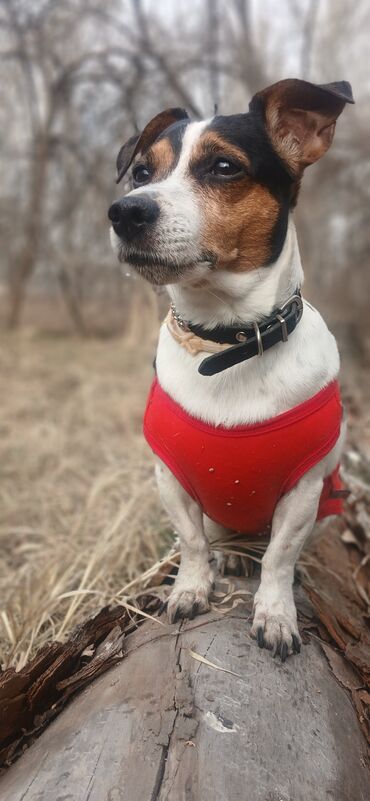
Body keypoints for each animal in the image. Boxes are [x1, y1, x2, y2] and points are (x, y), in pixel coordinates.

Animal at [108, 78, 354, 660]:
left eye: (223, 167)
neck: (226, 343)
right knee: (223, 538)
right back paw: (230, 556)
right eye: (142, 172)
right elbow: (193, 541)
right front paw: (191, 588)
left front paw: (276, 613)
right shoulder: (170, 478)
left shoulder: (304, 490)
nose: (125, 212)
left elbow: (280, 556)